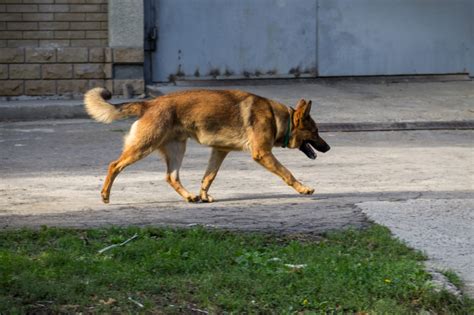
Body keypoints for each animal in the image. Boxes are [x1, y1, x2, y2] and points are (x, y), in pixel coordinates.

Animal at [84, 87, 330, 204]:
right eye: (315, 131)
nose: (328, 148)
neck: (279, 118)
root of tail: (149, 103)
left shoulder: (219, 151)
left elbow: (208, 177)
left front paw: (203, 195)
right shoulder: (262, 154)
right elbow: (287, 173)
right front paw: (303, 188)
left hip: (177, 150)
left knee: (171, 176)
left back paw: (190, 197)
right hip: (143, 147)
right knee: (114, 165)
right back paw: (105, 195)